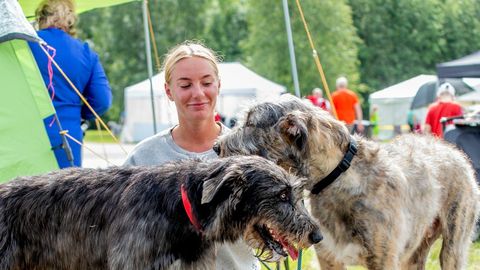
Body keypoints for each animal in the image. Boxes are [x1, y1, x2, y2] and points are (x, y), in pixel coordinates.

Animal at [215, 94, 480, 270]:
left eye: (251, 123)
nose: (216, 147)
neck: (338, 176)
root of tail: (451, 149)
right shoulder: (329, 258)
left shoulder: (384, 258)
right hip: (414, 253)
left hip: (454, 245)